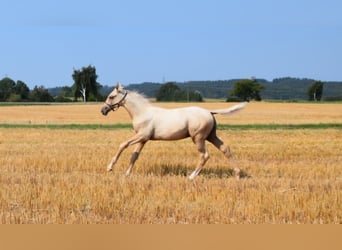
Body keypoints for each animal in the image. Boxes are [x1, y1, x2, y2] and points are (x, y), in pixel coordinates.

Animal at [100, 83, 247, 180]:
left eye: (111, 96)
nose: (103, 110)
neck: (142, 113)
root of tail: (210, 112)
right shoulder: (143, 139)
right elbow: (134, 155)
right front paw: (127, 174)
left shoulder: (141, 135)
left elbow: (123, 145)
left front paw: (110, 167)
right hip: (211, 136)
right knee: (225, 149)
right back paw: (238, 174)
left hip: (198, 138)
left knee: (204, 155)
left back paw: (191, 176)